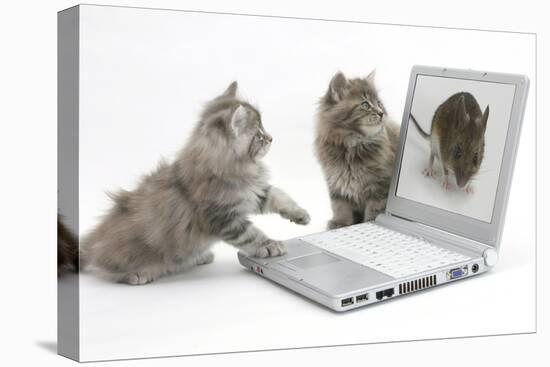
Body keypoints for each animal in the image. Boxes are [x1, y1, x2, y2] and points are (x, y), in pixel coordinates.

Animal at [78, 82, 310, 284]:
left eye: (264, 130)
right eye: (258, 135)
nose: (271, 138)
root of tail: (92, 243)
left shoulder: (253, 193)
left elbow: (279, 196)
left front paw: (300, 214)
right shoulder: (222, 216)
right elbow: (250, 234)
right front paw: (270, 245)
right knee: (105, 269)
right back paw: (137, 275)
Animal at [314, 70, 402, 229]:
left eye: (379, 103)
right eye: (365, 104)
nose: (381, 113)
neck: (353, 145)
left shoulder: (380, 186)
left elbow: (374, 209)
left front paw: (369, 222)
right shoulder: (336, 182)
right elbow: (340, 207)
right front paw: (340, 223)